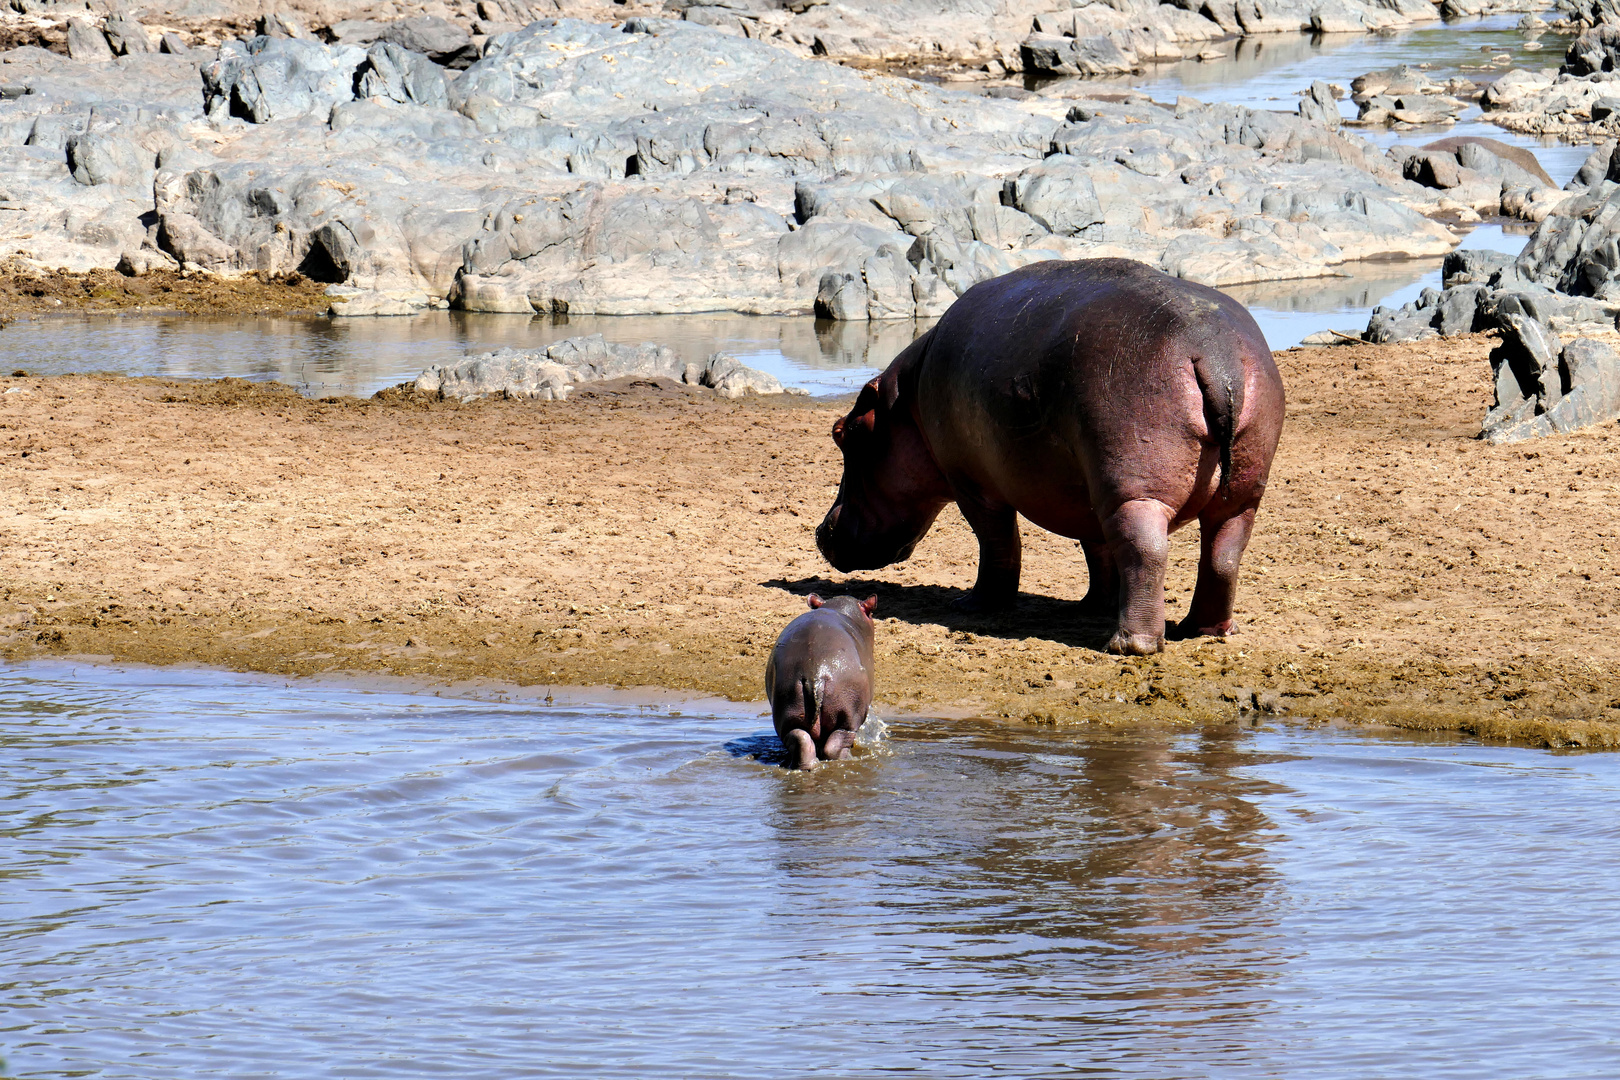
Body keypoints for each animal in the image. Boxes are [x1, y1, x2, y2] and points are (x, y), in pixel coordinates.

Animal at [764, 595, 881, 773]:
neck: (839, 608)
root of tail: (816, 673)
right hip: (847, 717)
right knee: (836, 744)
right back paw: (849, 759)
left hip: (788, 711)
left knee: (801, 740)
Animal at [816, 257, 1283, 654]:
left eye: (843, 433)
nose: (822, 532)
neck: (905, 404)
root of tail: (1217, 356)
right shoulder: (1086, 489)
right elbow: (1096, 549)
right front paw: (1091, 605)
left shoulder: (972, 484)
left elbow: (998, 543)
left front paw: (973, 605)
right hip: (1238, 493)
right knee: (1223, 554)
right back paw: (1202, 629)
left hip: (1134, 491)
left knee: (1146, 551)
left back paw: (1129, 645)